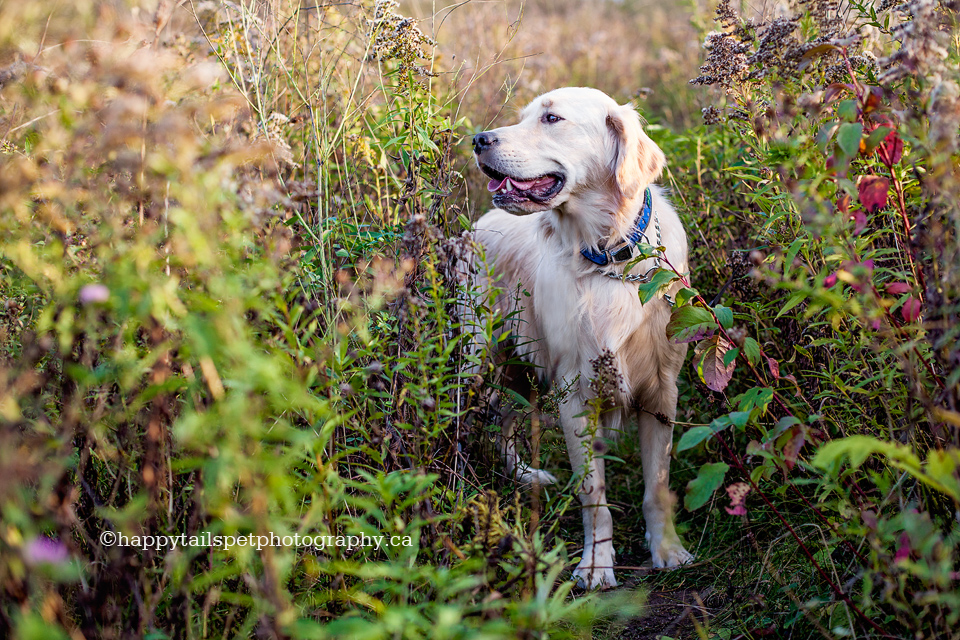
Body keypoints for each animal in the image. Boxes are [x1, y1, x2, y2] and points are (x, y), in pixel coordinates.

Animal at [464, 87, 688, 588]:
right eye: (523, 117)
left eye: (551, 119)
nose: (479, 139)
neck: (610, 257)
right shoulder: (575, 392)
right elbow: (594, 494)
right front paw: (596, 564)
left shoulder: (661, 391)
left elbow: (657, 486)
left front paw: (667, 550)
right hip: (478, 356)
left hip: (521, 368)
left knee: (506, 417)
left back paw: (525, 475)